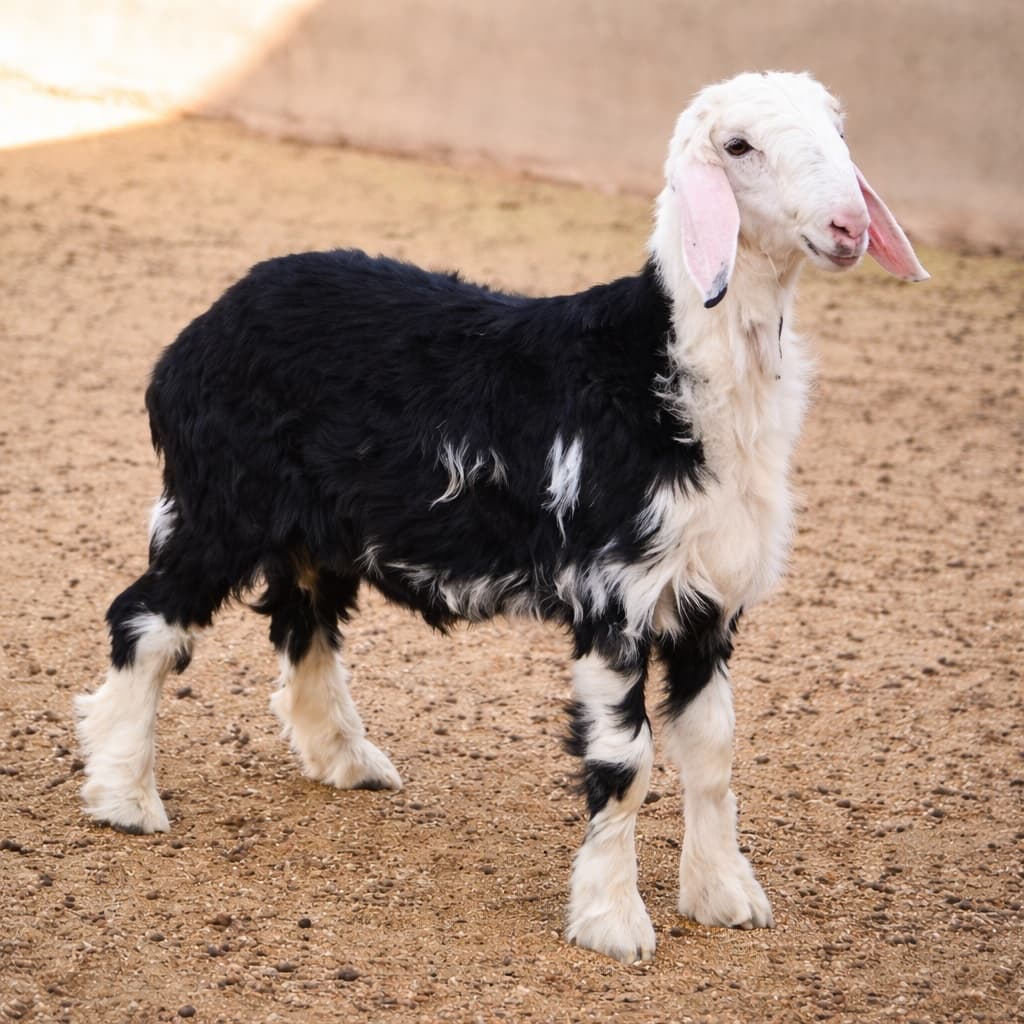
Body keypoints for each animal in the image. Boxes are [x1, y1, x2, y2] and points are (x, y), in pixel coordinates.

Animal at [75, 70, 928, 964]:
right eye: (738, 147)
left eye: (838, 128)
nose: (849, 225)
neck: (664, 370)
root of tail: (203, 328)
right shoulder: (614, 596)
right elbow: (626, 763)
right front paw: (613, 921)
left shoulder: (708, 602)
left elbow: (715, 753)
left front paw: (724, 895)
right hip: (217, 503)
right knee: (144, 618)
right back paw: (124, 792)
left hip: (318, 529)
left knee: (304, 624)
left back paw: (344, 758)